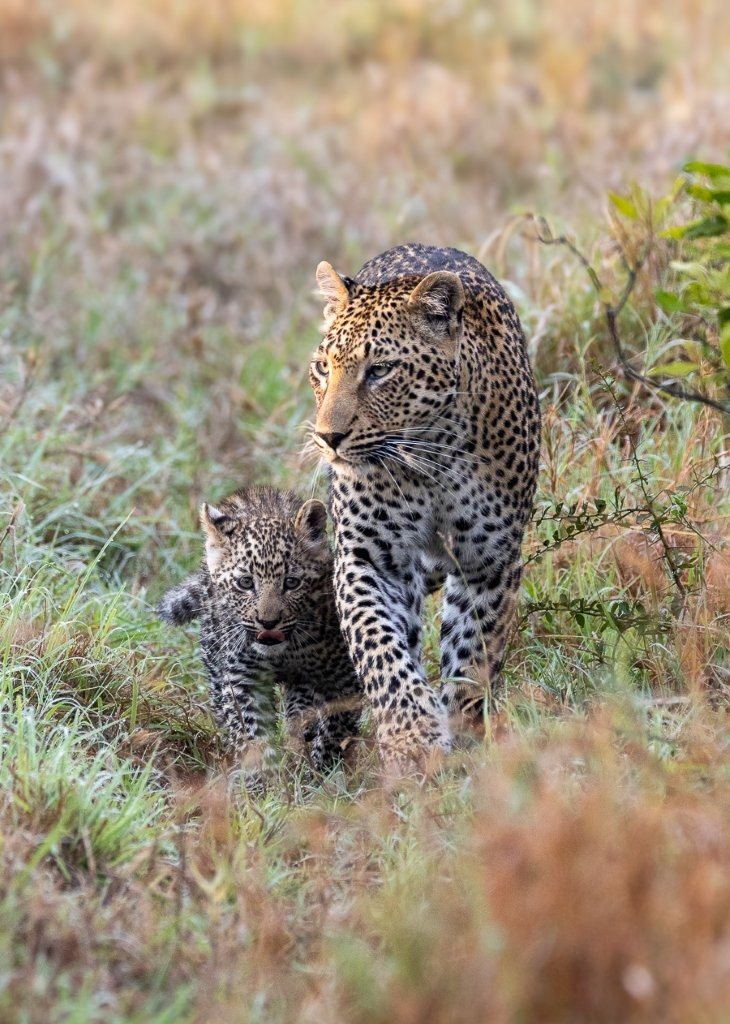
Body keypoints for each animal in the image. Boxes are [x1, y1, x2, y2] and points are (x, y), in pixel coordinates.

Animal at [158, 486, 362, 771]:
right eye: (245, 583)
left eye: (292, 582)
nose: (268, 622)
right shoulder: (243, 680)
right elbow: (251, 733)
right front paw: (260, 776)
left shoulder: (344, 679)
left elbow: (336, 728)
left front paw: (322, 768)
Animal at [308, 243, 540, 771]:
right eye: (323, 368)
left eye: (380, 371)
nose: (328, 438)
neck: (430, 456)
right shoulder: (370, 558)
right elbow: (379, 648)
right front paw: (411, 738)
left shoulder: (489, 564)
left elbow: (472, 655)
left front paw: (462, 738)